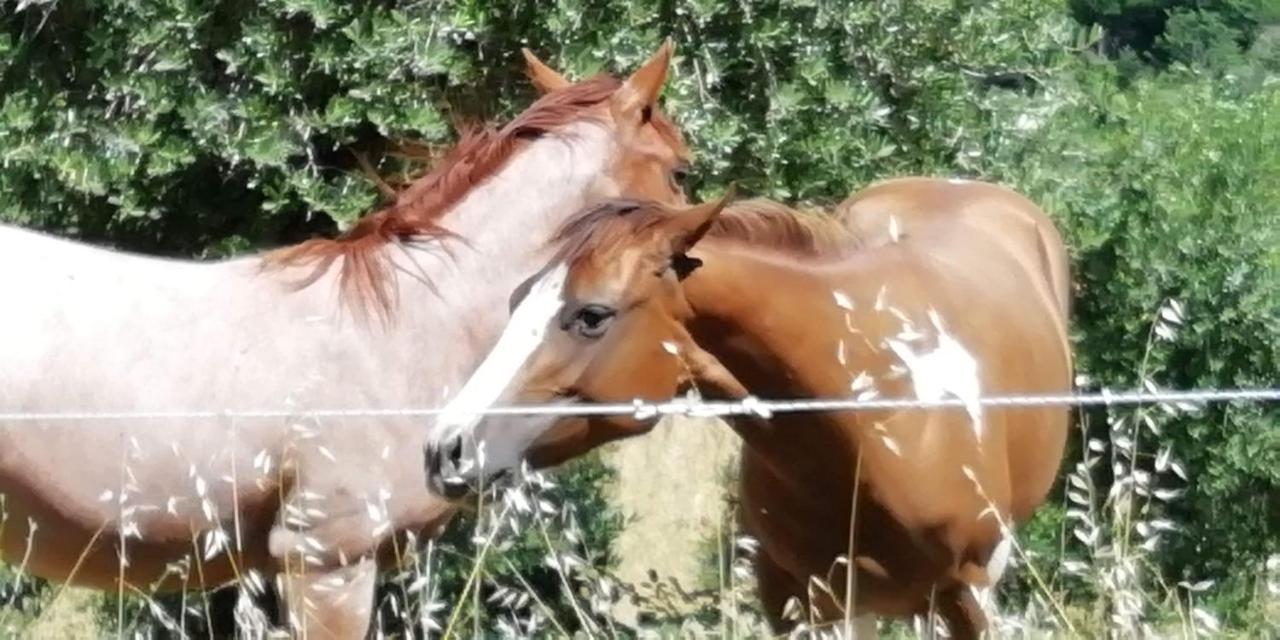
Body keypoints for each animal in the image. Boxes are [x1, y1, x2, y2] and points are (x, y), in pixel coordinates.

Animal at [427, 177, 1070, 637]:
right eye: (517, 298)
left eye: (592, 315)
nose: (444, 450)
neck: (880, 419)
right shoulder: (801, 603)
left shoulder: (968, 598)